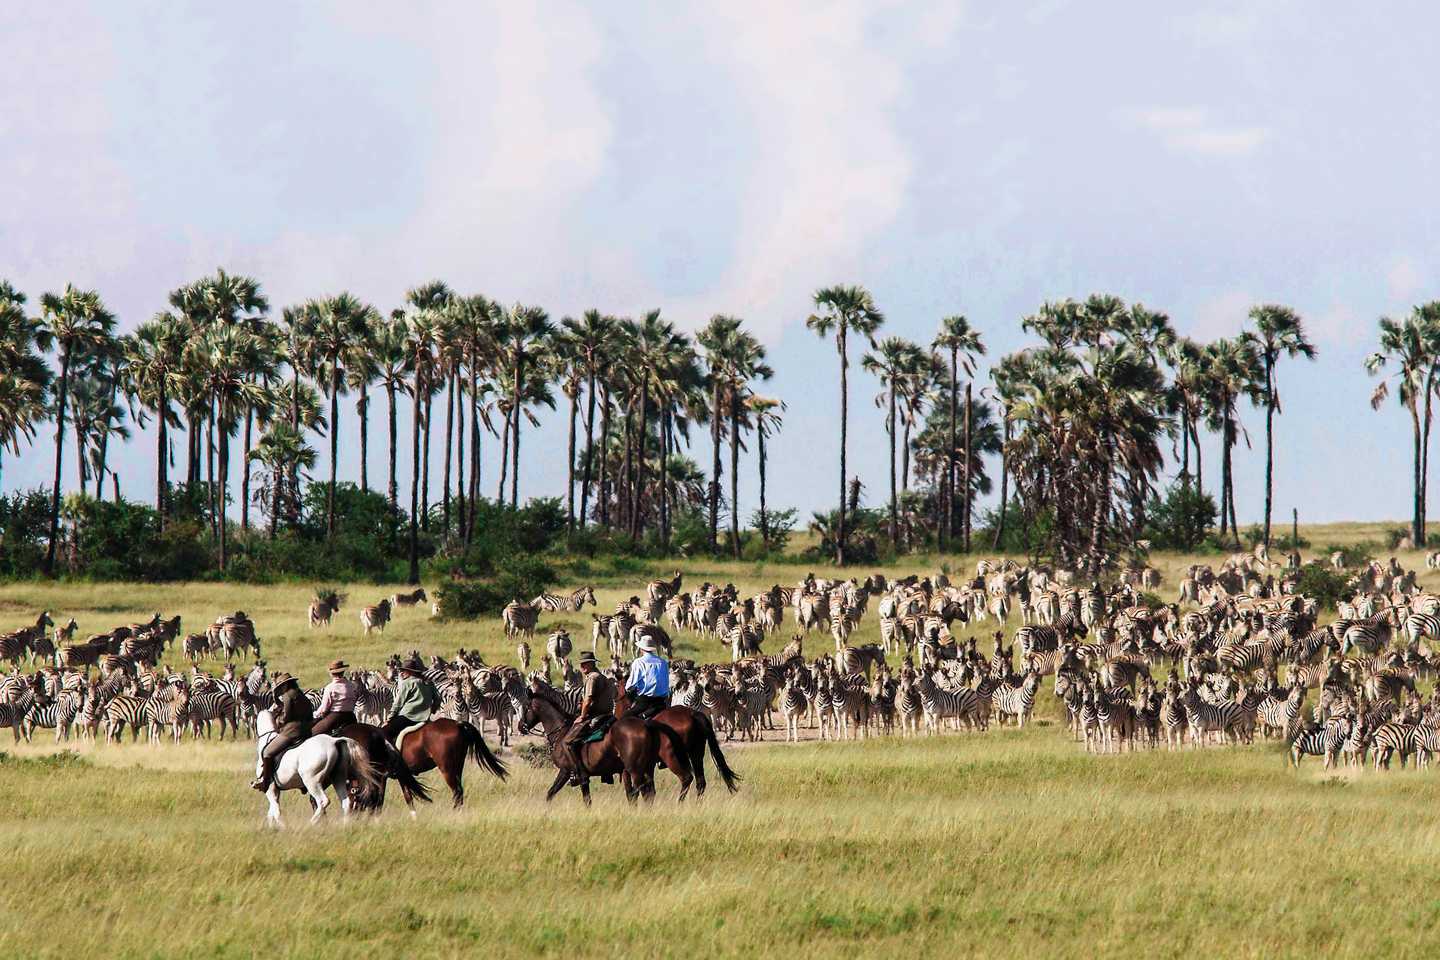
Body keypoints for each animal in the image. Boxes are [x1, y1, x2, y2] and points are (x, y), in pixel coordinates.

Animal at [253, 708, 384, 827]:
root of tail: (334, 741)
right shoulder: (275, 790)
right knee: (347, 802)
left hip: (312, 782)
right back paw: (345, 825)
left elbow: (276, 811)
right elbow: (271, 813)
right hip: (338, 779)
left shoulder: (270, 789)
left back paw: (311, 823)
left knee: (322, 801)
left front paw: (282, 828)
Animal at [519, 681, 693, 805]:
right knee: (649, 792)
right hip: (647, 767)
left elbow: (569, 796)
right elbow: (554, 794)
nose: (521, 726)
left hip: (640, 767)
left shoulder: (567, 771)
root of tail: (646, 724)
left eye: (526, 706)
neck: (561, 733)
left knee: (652, 788)